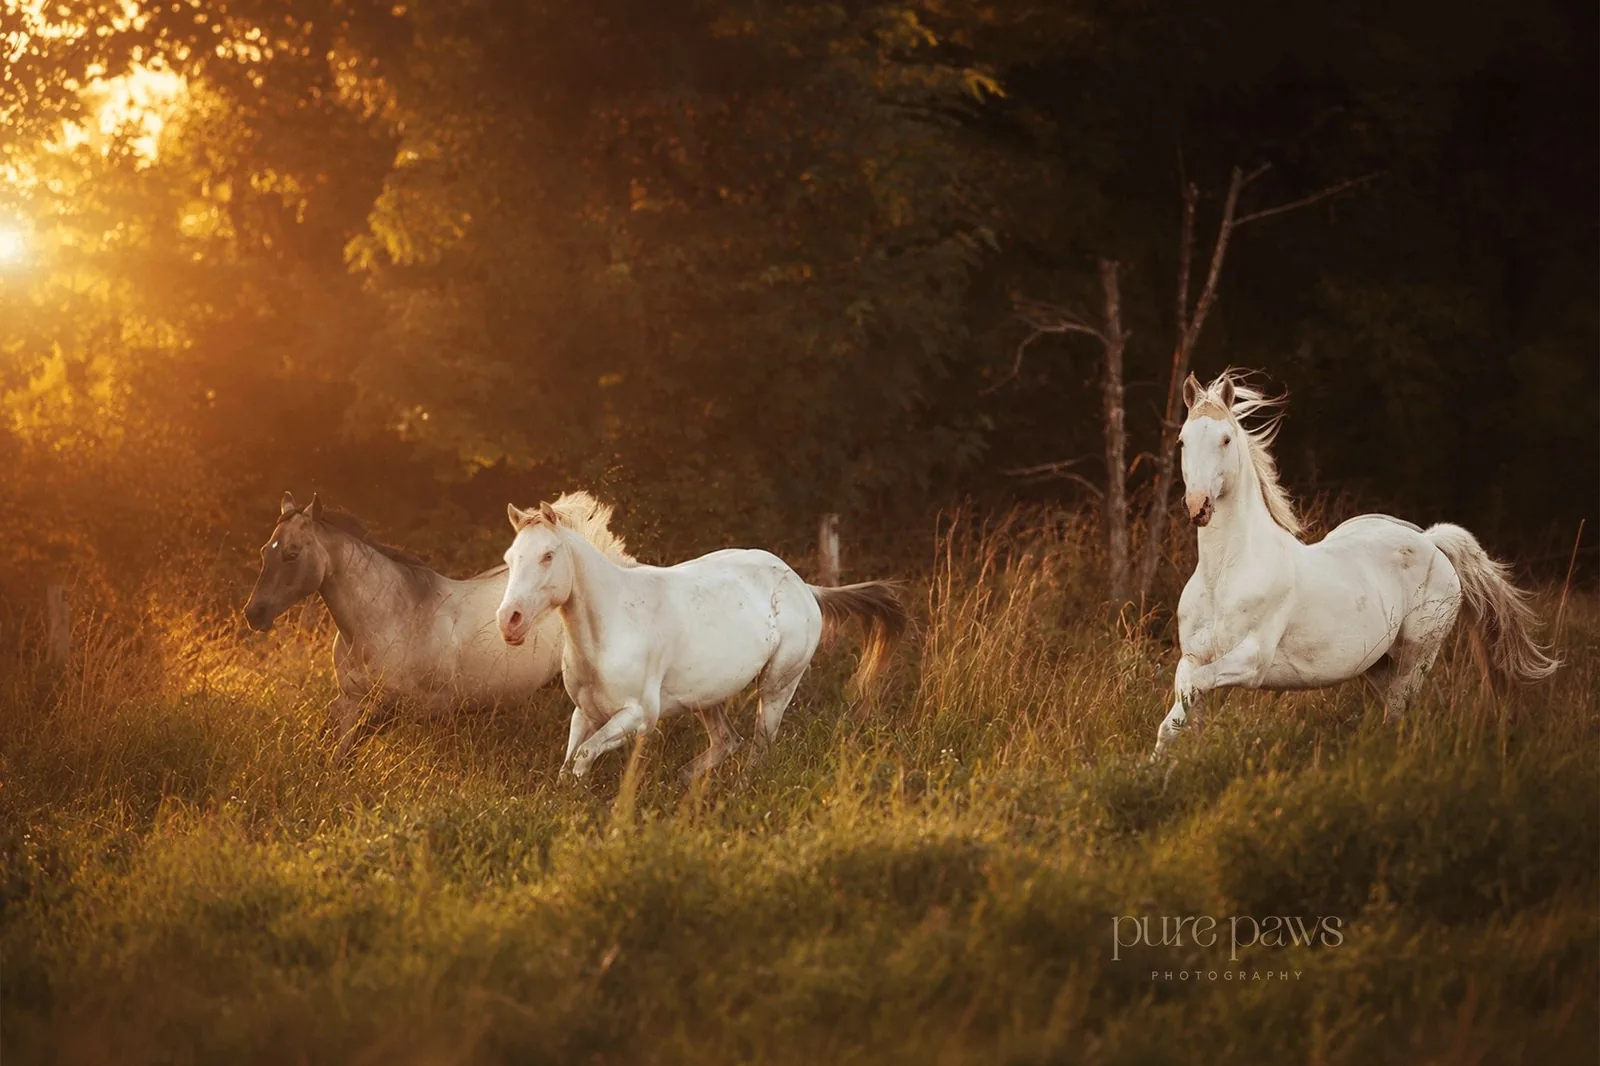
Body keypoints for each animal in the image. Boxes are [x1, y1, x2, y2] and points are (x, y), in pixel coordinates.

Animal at [243, 490, 635, 754]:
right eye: (265, 551)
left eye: (292, 554)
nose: (254, 613)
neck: (390, 618)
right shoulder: (348, 697)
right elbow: (331, 744)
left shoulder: (397, 707)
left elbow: (352, 746)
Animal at [495, 501, 908, 781]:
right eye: (510, 558)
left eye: (548, 556)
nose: (508, 621)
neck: (609, 628)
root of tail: (804, 586)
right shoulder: (585, 713)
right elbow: (568, 765)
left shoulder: (639, 717)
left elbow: (583, 756)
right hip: (708, 695)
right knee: (727, 740)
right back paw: (685, 783)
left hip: (778, 686)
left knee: (760, 747)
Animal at [1153, 369, 1559, 757]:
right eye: (1182, 441)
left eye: (1225, 440)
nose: (1198, 506)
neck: (1223, 575)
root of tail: (1431, 540)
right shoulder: (1194, 656)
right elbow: (1177, 718)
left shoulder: (1252, 659)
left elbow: (1191, 693)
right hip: (1378, 665)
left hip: (1416, 657)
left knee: (1400, 712)